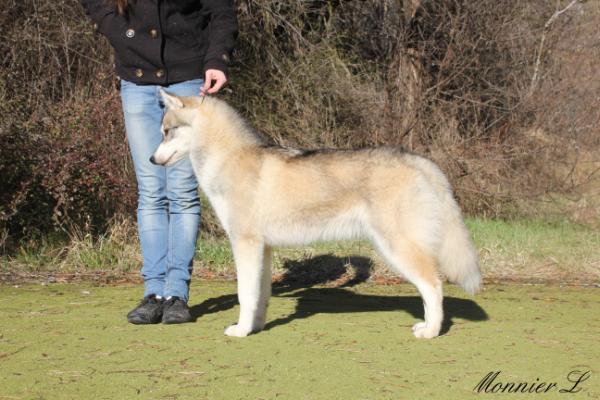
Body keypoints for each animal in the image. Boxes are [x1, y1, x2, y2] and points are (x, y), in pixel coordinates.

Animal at [152, 92, 480, 340]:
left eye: (167, 131)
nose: (152, 159)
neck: (230, 159)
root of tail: (420, 161)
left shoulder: (245, 244)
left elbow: (245, 294)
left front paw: (241, 330)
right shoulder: (264, 249)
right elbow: (260, 296)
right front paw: (255, 327)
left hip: (397, 246)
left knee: (434, 286)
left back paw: (431, 331)